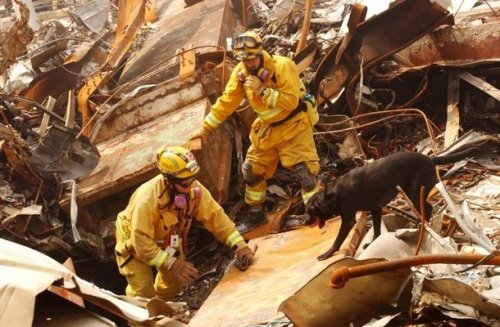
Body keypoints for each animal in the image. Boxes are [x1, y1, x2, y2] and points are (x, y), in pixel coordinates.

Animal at [306, 151, 474, 262]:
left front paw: (327, 254)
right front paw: (373, 243)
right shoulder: (376, 208)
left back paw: (421, 226)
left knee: (428, 208)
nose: (305, 221)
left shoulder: (348, 220)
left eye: (310, 211)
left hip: (414, 192)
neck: (334, 193)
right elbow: (377, 230)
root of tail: (430, 158)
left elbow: (338, 240)